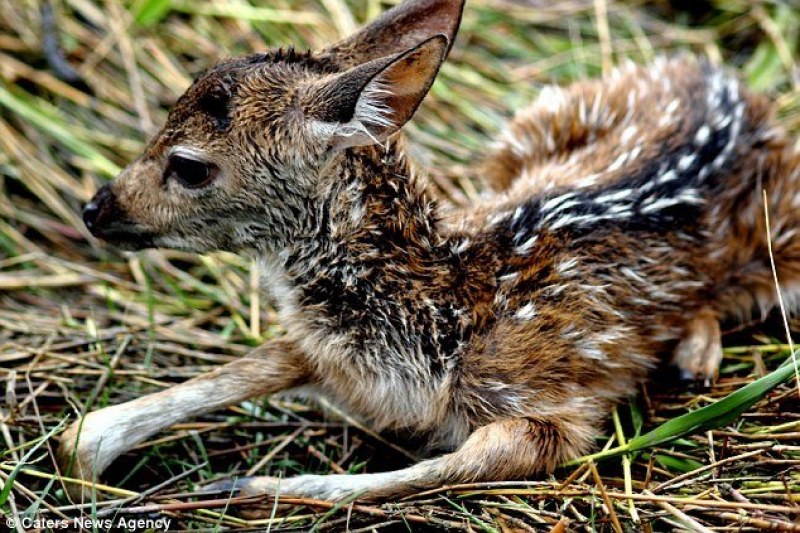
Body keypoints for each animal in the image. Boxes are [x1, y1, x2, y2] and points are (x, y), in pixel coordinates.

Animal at [61, 0, 800, 500]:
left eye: (189, 166)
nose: (95, 208)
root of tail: (729, 81)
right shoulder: (325, 349)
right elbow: (212, 382)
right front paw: (87, 458)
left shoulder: (553, 405)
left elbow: (454, 462)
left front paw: (240, 487)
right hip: (521, 136)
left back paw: (694, 359)